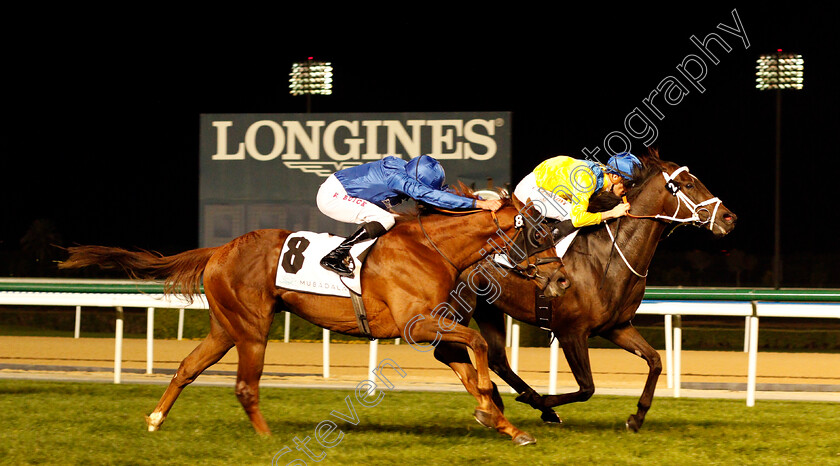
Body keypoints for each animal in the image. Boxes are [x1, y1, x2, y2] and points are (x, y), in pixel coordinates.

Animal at [62, 196, 568, 444]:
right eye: (537, 236)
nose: (562, 278)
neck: (431, 249)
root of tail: (220, 249)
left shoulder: (434, 333)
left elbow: (469, 365)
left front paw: (506, 424)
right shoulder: (418, 325)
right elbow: (479, 348)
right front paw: (490, 406)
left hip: (225, 328)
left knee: (187, 367)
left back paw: (155, 420)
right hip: (252, 328)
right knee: (245, 386)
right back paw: (266, 439)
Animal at [434, 151, 736, 432]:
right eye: (688, 184)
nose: (729, 217)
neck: (607, 255)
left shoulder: (616, 327)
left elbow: (655, 360)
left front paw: (637, 417)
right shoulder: (571, 331)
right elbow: (587, 388)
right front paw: (542, 402)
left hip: (489, 307)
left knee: (497, 359)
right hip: (461, 304)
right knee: (448, 351)